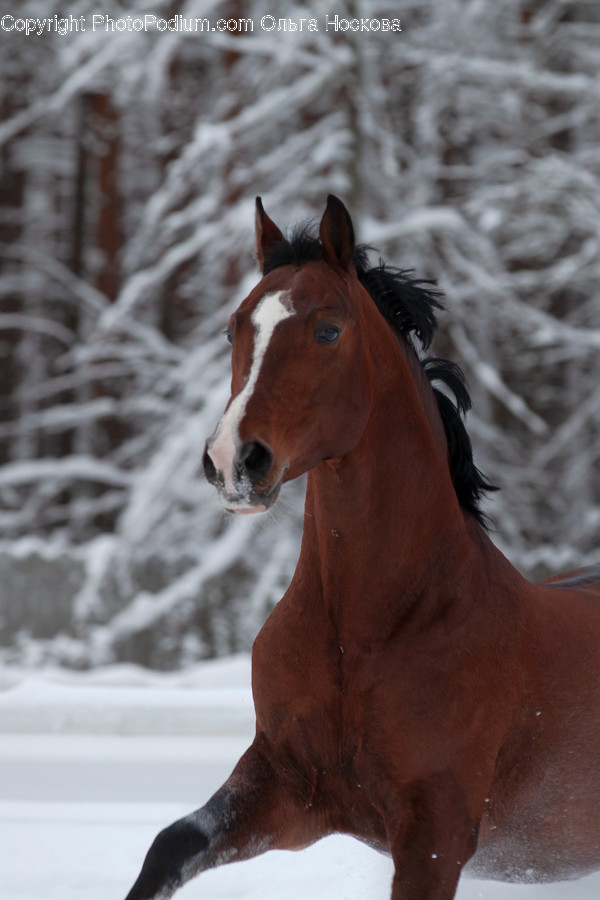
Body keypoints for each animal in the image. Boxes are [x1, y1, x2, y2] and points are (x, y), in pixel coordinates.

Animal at [124, 195, 600, 900]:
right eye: (234, 329)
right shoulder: (285, 790)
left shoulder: (435, 833)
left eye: (328, 331)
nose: (233, 461)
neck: (364, 629)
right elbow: (170, 847)